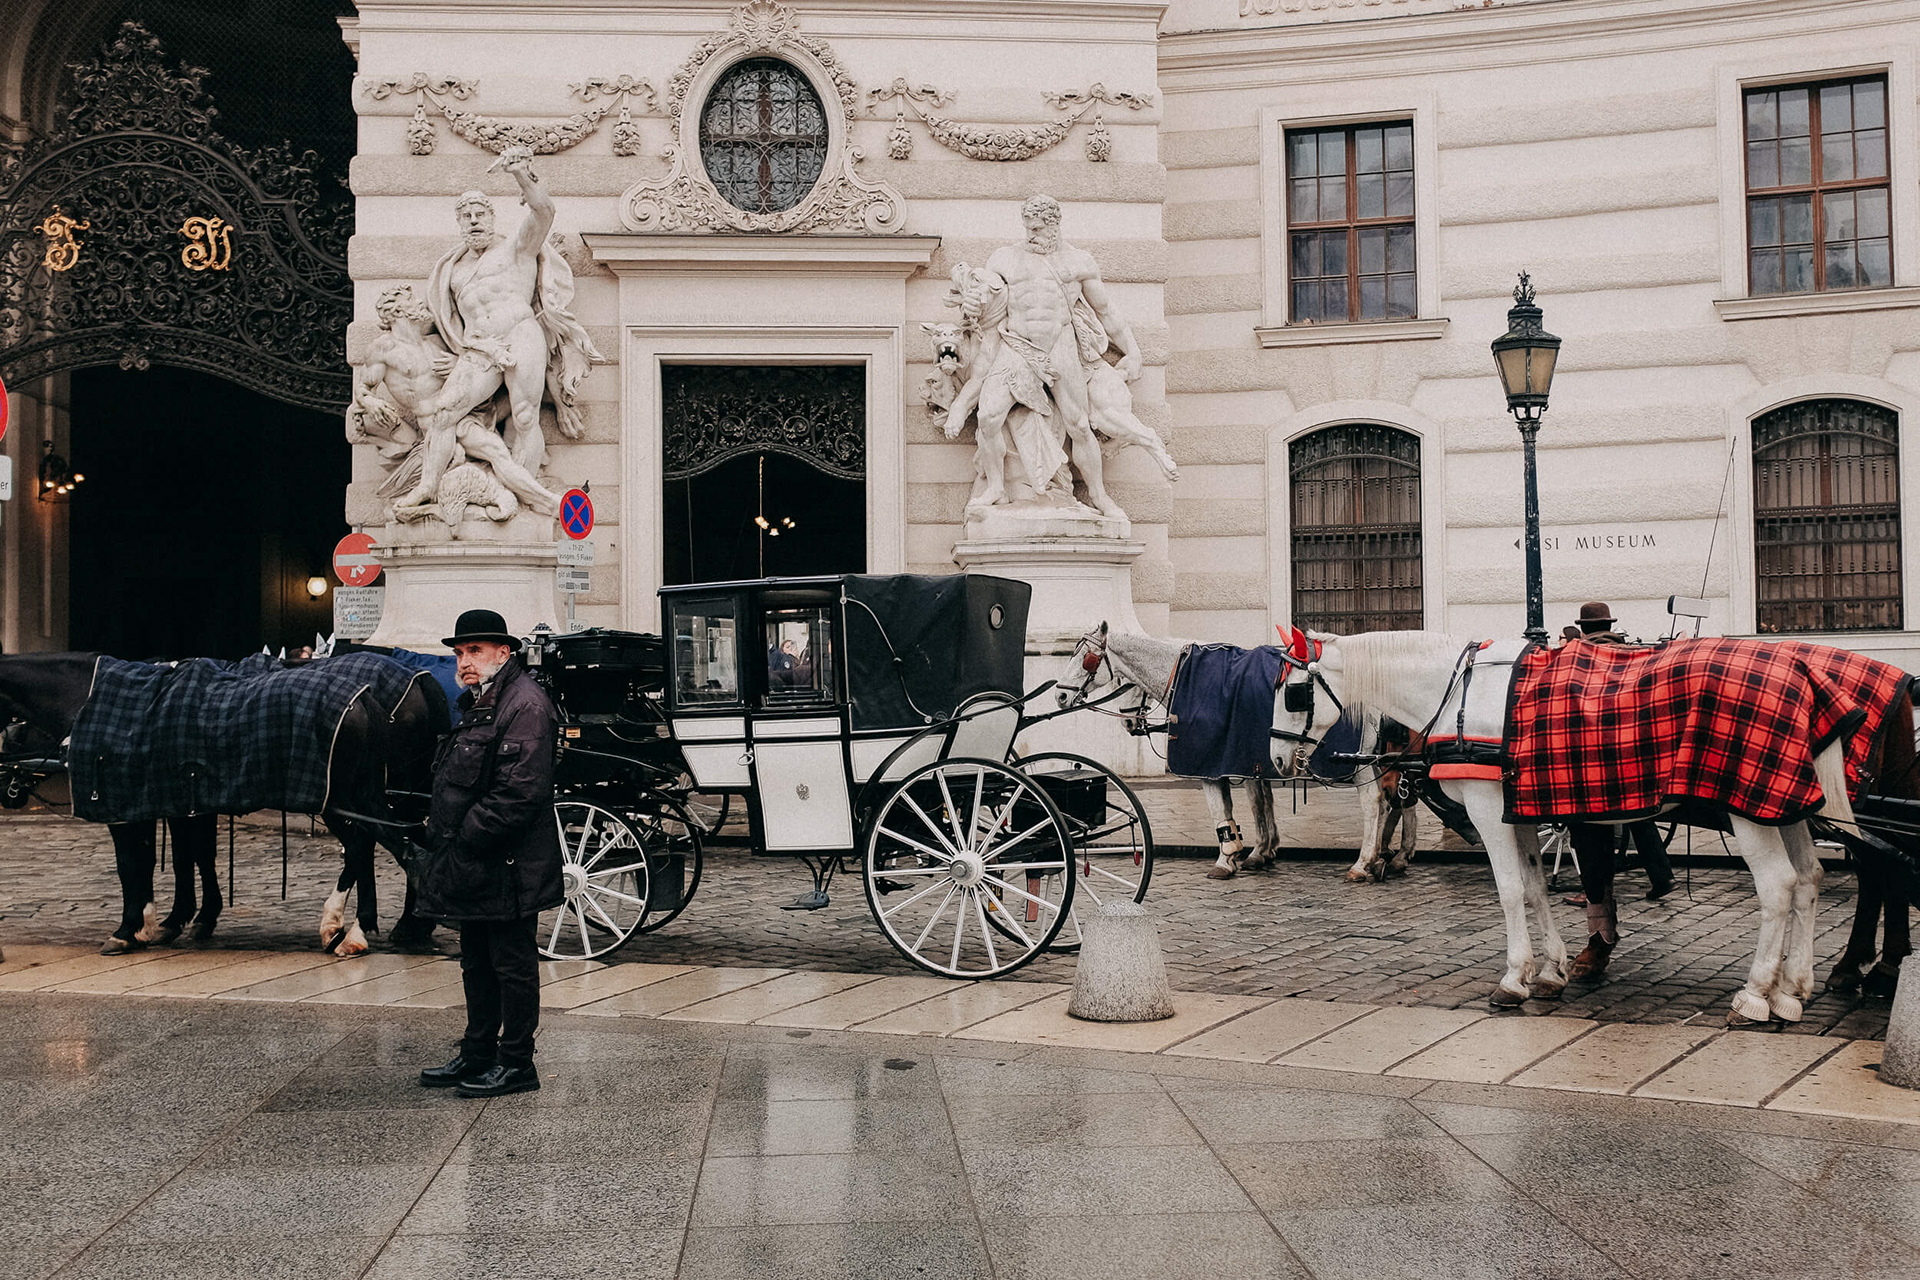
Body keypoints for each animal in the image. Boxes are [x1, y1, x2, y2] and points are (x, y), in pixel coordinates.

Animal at [0, 651, 446, 957]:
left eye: (13, 726)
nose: (8, 788)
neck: (93, 701)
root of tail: (368, 697)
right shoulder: (172, 797)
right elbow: (186, 856)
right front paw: (173, 919)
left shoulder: (127, 802)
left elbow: (139, 863)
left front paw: (132, 929)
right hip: (362, 795)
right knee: (387, 843)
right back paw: (381, 925)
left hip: (343, 797)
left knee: (380, 846)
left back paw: (356, 928)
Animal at [1267, 627, 1916, 1024]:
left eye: (1294, 691)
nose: (1273, 760)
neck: (1461, 693)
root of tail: (1805, 673)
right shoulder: (1521, 811)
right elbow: (1534, 886)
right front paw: (1551, 970)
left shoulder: (1487, 806)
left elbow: (1510, 891)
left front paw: (1514, 977)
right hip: (1785, 805)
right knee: (1809, 880)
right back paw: (1794, 989)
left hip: (1748, 806)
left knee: (1783, 886)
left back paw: (1760, 994)